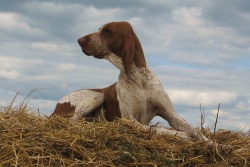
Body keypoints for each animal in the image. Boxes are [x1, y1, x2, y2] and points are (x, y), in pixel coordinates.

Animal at [52, 21, 209, 141]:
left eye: (107, 31)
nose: (79, 40)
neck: (140, 79)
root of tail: (56, 106)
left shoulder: (170, 114)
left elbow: (196, 131)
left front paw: (212, 144)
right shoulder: (130, 120)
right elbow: (157, 129)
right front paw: (183, 136)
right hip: (97, 95)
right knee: (69, 121)